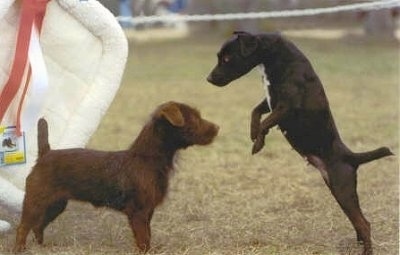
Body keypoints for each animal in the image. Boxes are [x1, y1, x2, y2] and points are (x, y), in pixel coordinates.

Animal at [14, 101, 219, 253]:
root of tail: (45, 154)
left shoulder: (148, 211)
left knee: (38, 226)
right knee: (24, 226)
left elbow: (148, 234)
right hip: (36, 202)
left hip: (56, 205)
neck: (147, 159)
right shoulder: (138, 212)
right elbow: (143, 238)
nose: (217, 127)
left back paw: (42, 247)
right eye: (195, 119)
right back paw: (20, 249)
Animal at [208, 30, 392, 254]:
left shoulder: (287, 105)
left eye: (227, 58)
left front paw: (258, 142)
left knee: (365, 224)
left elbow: (265, 122)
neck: (276, 56)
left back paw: (366, 249)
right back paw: (357, 243)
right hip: (337, 190)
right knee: (359, 222)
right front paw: (253, 134)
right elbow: (255, 111)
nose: (208, 78)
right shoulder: (271, 101)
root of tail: (351, 157)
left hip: (343, 189)